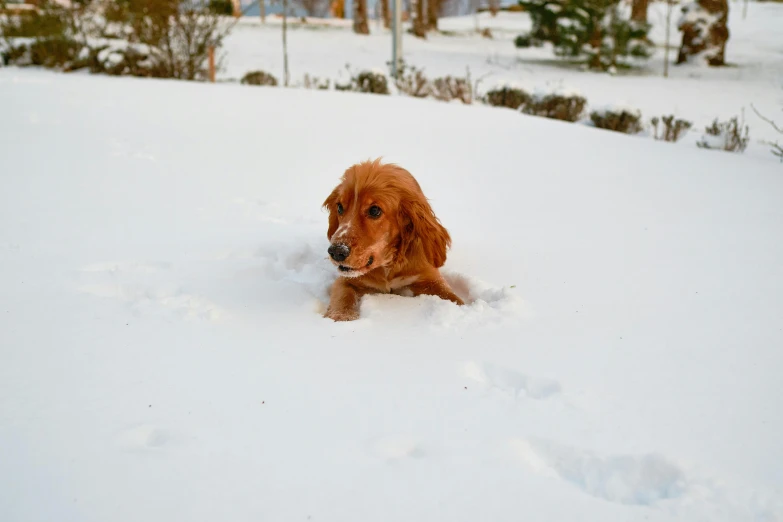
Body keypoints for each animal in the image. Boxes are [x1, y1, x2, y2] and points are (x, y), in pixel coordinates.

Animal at [322, 156, 462, 318]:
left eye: (374, 210)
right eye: (339, 207)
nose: (336, 251)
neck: (388, 264)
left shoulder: (429, 277)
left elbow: (451, 297)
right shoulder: (346, 280)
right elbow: (343, 297)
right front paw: (341, 317)